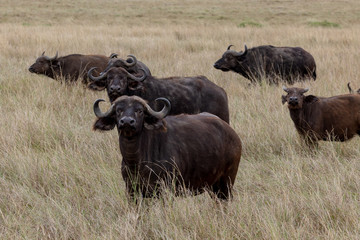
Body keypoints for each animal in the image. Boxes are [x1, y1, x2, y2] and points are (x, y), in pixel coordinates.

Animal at [92, 94, 242, 200]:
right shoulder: (132, 191)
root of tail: (232, 134)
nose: (127, 122)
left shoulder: (164, 190)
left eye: (139, 111)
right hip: (212, 186)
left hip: (226, 183)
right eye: (118, 110)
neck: (137, 162)